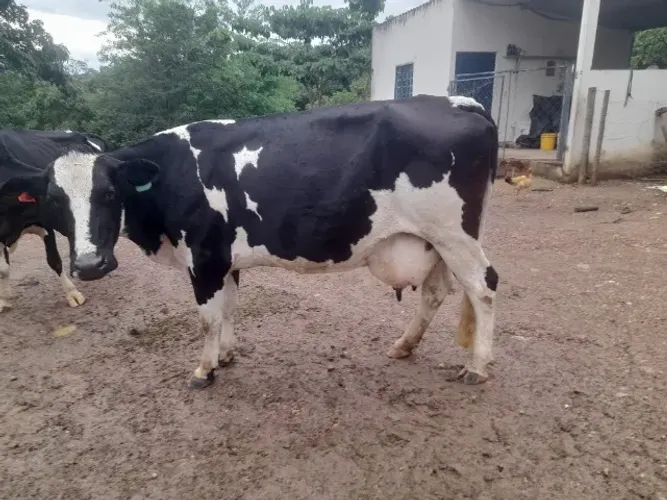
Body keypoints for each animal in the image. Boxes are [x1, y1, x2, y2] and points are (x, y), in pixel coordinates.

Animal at [0, 129, 114, 312]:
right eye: (53, 199)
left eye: (107, 193)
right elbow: (3, 268)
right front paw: (4, 299)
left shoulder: (45, 224)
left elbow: (54, 260)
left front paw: (72, 294)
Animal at [41, 94, 499, 388]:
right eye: (55, 199)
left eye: (109, 194)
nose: (89, 266)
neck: (170, 174)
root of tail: (454, 101)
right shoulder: (225, 259)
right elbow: (228, 308)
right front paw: (225, 355)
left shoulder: (204, 258)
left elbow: (208, 318)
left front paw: (203, 371)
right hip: (434, 241)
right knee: (437, 292)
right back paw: (404, 346)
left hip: (453, 234)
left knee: (483, 287)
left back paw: (477, 367)